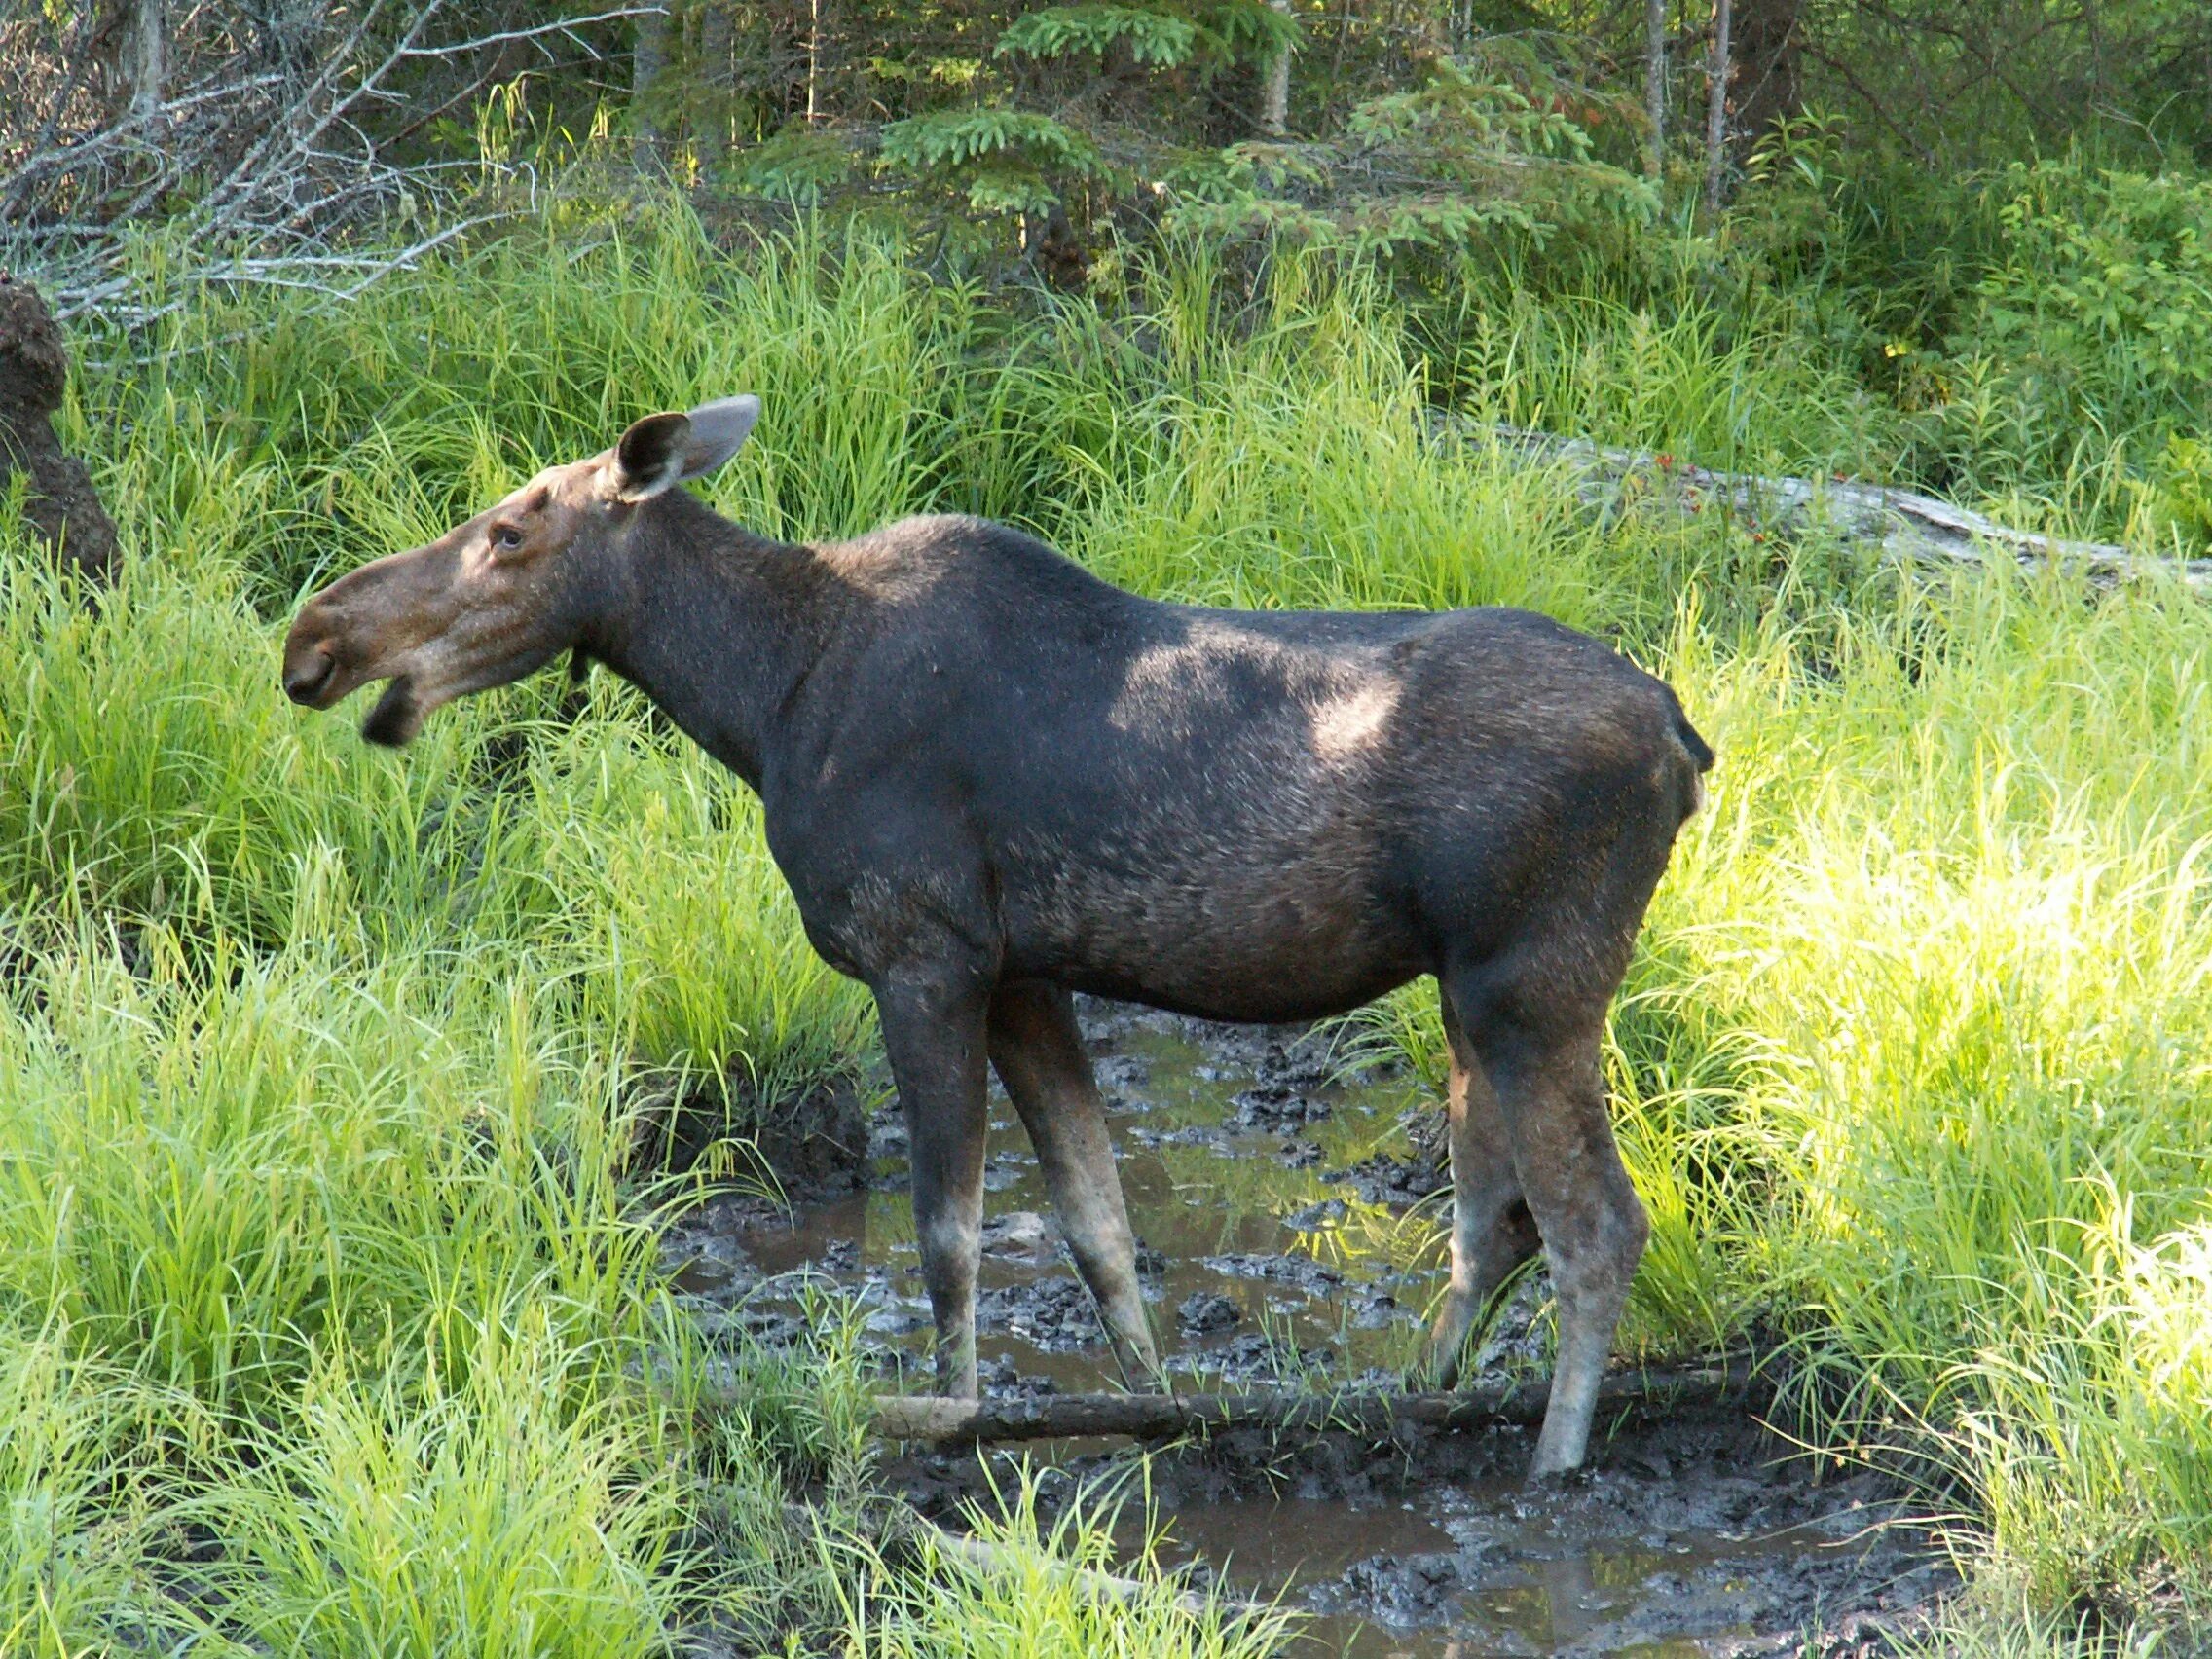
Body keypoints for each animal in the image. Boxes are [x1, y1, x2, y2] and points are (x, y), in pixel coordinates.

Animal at [280, 400, 1707, 1477]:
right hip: (1466, 996)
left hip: (1534, 985)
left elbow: (948, 1239)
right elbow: (1098, 1227)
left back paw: (1552, 1462)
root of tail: (1685, 743)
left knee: (1596, 1225)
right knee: (1490, 1222)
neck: (759, 699)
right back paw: (1421, 1397)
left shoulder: (924, 957)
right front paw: (1154, 1410)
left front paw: (951, 1421)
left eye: (509, 530)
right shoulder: (1025, 978)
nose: (314, 633)